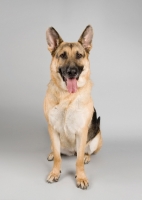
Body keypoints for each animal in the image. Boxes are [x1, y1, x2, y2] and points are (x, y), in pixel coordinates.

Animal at [43, 25, 102, 189]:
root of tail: (70, 152)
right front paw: (55, 172)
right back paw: (52, 154)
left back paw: (87, 157)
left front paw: (81, 177)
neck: (67, 97)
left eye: (79, 55)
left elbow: (79, 160)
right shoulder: (52, 129)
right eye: (62, 56)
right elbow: (58, 157)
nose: (72, 72)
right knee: (57, 151)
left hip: (96, 139)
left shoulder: (81, 132)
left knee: (85, 153)